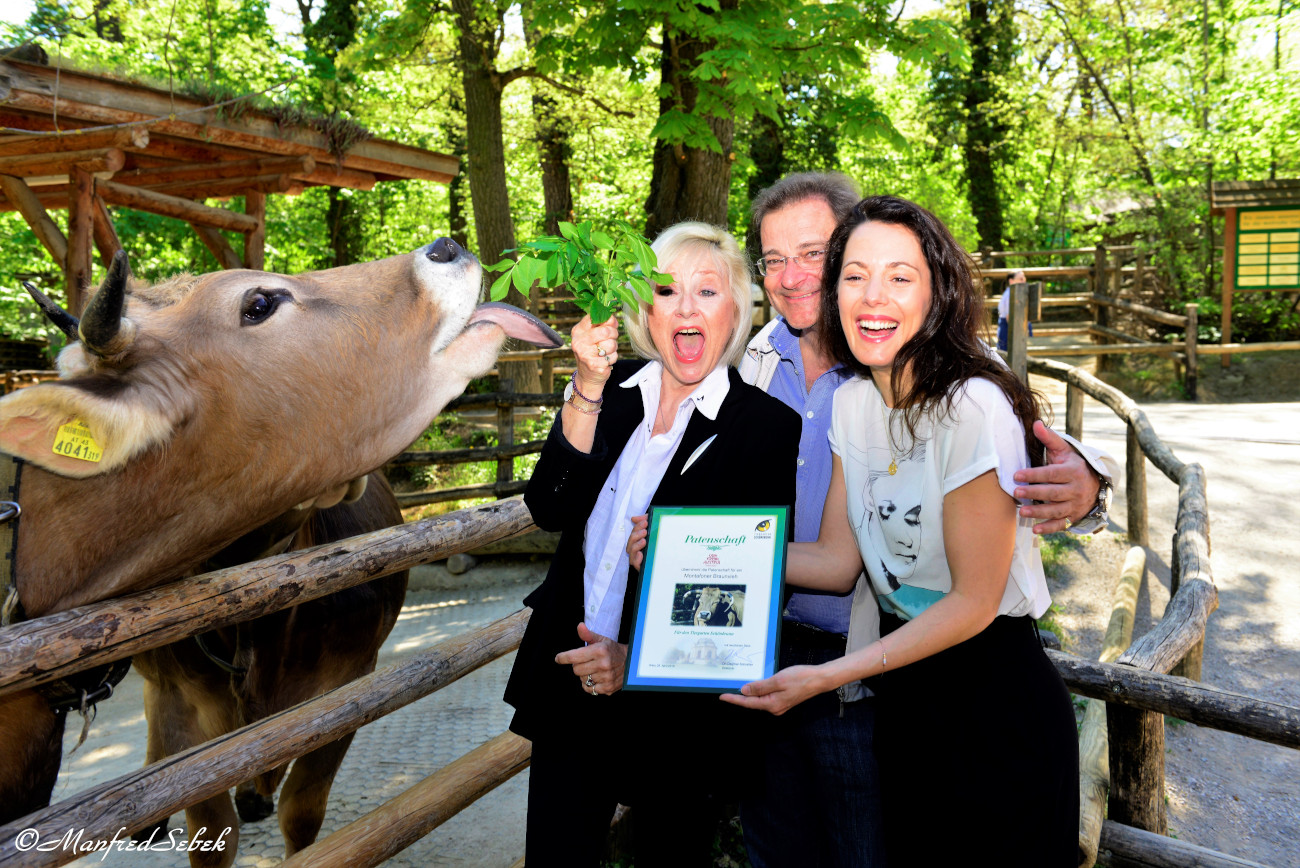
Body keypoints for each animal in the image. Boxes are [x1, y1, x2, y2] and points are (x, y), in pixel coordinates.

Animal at [0, 239, 553, 868]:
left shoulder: (347, 688)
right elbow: (210, 831)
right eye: (260, 302)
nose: (446, 246)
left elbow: (302, 813)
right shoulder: (189, 719)